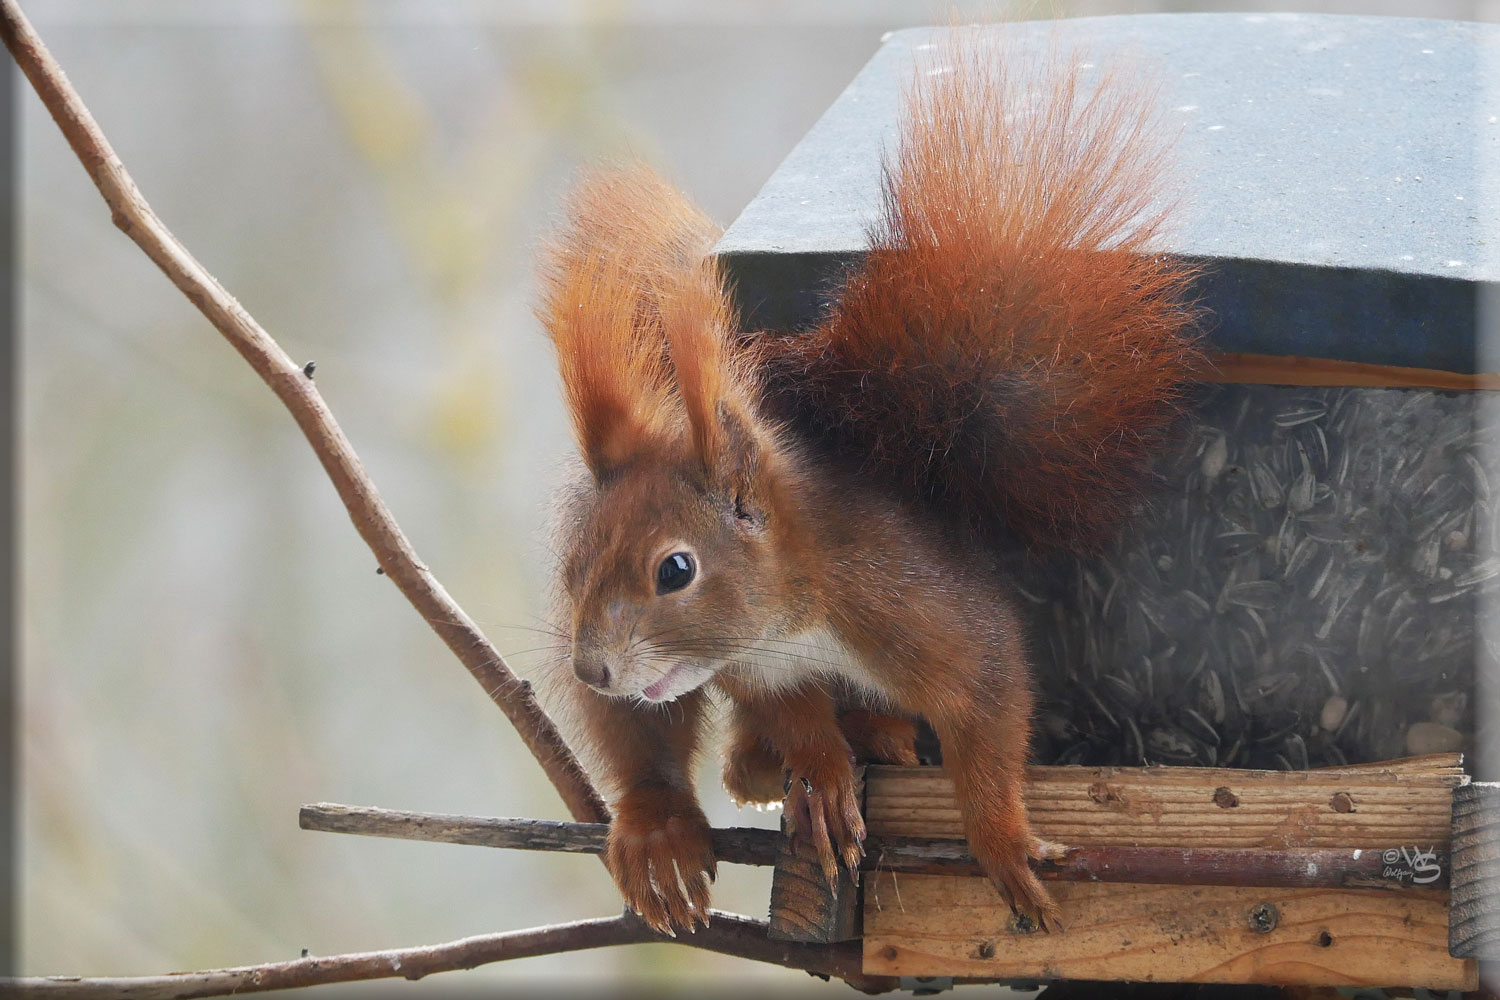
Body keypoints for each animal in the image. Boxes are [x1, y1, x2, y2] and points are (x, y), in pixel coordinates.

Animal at [534, 35, 1200, 935]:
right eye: (573, 570)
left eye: (675, 570)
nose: (592, 671)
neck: (798, 617)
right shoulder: (762, 672)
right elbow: (797, 723)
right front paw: (819, 777)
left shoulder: (919, 608)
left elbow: (988, 712)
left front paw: (1001, 842)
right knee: (656, 753)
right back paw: (671, 820)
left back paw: (867, 736)